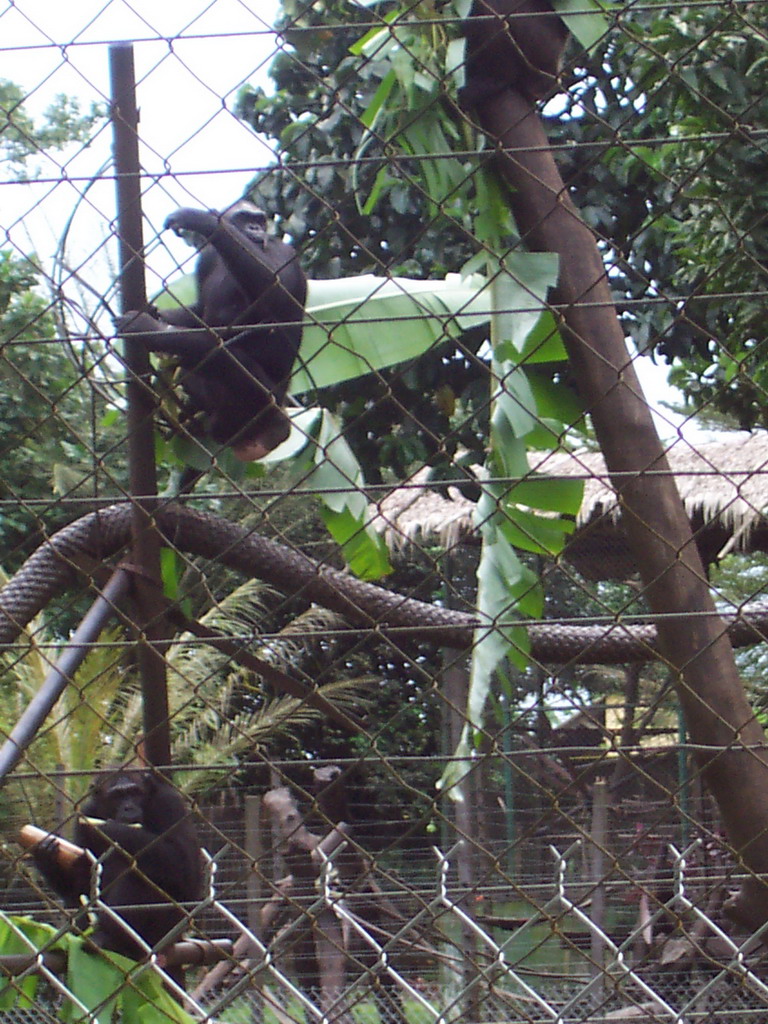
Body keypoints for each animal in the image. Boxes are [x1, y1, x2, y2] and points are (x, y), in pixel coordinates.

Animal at [32, 770, 202, 958]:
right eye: (116, 796)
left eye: (135, 792)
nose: (128, 807)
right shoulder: (85, 814)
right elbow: (79, 879)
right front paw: (46, 855)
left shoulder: (170, 804)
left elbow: (185, 864)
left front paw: (110, 829)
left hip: (164, 933)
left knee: (139, 877)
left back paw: (109, 938)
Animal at [115, 198, 307, 460]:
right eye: (245, 218)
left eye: (259, 220)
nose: (255, 228)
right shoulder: (206, 259)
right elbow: (199, 309)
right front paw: (155, 313)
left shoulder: (282, 252)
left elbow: (277, 289)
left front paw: (204, 221)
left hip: (269, 398)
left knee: (222, 357)